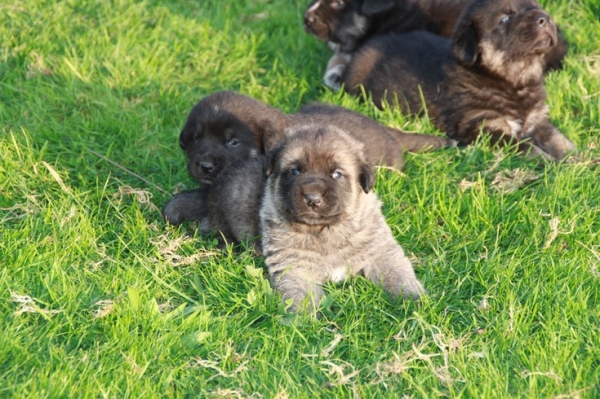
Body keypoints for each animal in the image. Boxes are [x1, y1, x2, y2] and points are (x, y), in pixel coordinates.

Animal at [260, 126, 424, 314]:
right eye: (295, 171)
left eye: (336, 174)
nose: (312, 199)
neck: (326, 230)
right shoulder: (294, 266)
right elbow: (302, 296)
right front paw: (306, 318)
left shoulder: (380, 251)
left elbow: (398, 276)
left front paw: (414, 301)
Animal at [342, 0, 576, 162]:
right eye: (504, 19)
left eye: (535, 6)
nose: (544, 18)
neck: (511, 81)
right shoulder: (482, 127)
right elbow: (525, 147)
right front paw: (550, 162)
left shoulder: (538, 120)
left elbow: (560, 140)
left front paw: (578, 160)